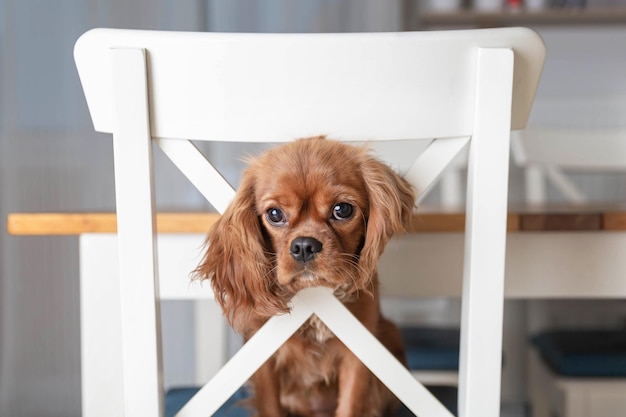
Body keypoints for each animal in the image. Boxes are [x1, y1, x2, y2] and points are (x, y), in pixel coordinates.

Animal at [193, 136, 412, 416]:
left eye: (342, 209)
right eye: (275, 214)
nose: (304, 245)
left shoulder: (358, 355)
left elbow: (350, 405)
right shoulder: (262, 358)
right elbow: (270, 407)